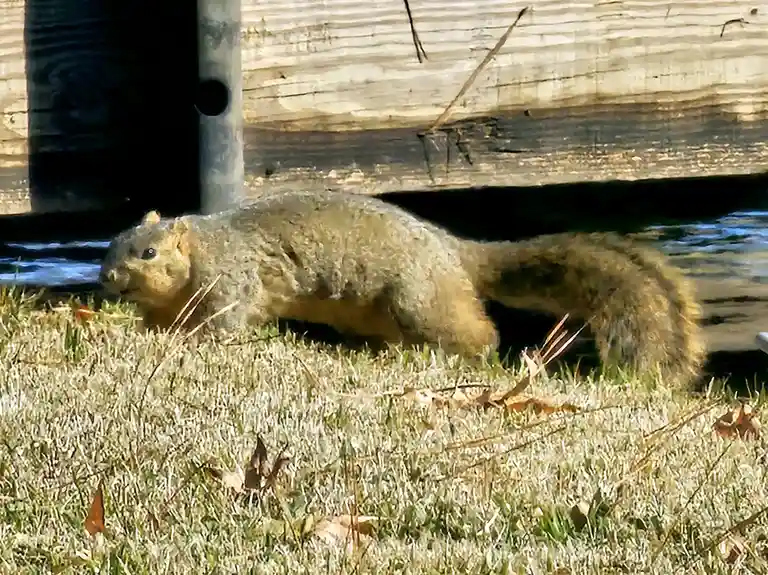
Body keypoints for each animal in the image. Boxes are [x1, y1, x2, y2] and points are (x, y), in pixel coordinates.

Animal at [99, 189, 706, 386]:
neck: (203, 248)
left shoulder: (232, 280)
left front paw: (196, 340)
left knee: (478, 333)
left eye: (148, 253)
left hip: (419, 299)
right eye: (112, 242)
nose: (105, 280)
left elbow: (225, 320)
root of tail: (453, 251)